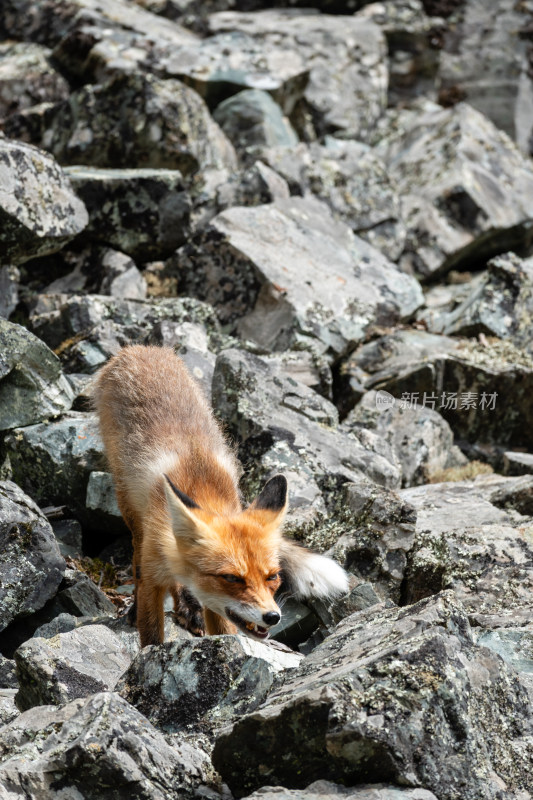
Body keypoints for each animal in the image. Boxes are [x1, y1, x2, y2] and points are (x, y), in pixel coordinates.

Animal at [91, 346, 350, 648]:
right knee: (136, 555)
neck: (203, 490)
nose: (273, 617)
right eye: (231, 578)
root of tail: (141, 349)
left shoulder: (217, 604)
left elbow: (224, 632)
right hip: (129, 508)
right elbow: (152, 635)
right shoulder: (153, 574)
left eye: (272, 577)